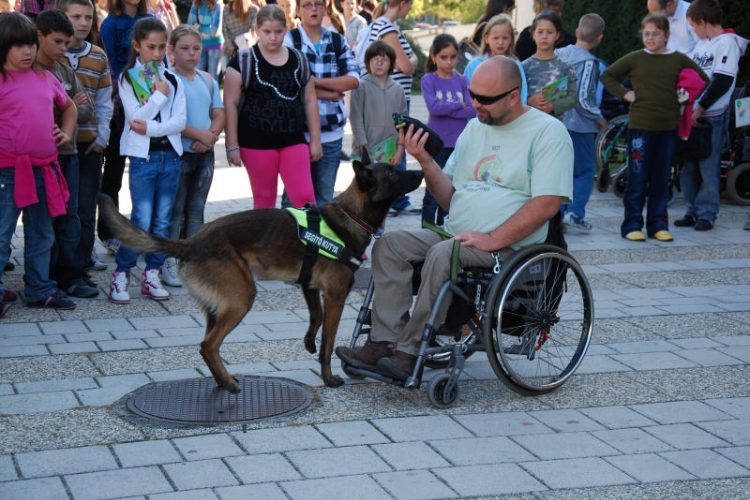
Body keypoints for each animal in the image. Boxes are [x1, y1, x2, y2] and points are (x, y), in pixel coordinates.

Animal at [100, 160, 426, 390]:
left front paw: (309, 341)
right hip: (242, 297)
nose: (423, 171)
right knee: (209, 345)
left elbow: (316, 318)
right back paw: (229, 383)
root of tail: (191, 241)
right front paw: (328, 377)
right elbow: (329, 340)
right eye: (393, 173)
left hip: (217, 307)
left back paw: (221, 381)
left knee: (208, 346)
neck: (351, 215)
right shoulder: (336, 295)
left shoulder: (309, 285)